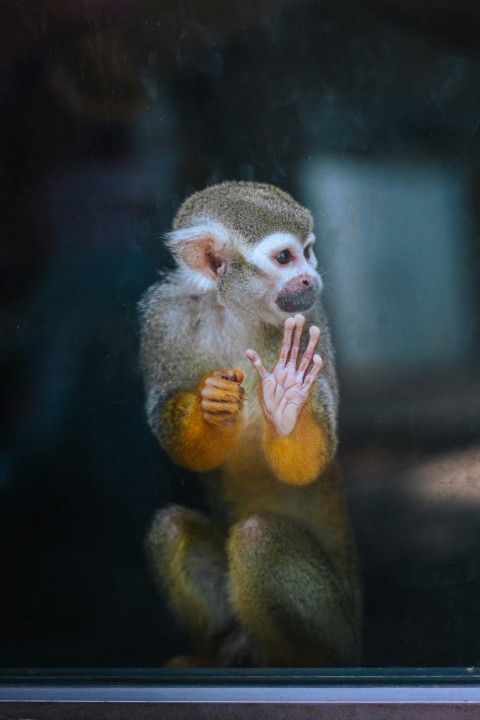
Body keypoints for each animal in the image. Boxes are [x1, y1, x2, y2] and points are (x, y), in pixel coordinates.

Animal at [140, 183, 360, 668]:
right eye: (284, 258)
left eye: (308, 252)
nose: (309, 278)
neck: (232, 309)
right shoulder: (162, 318)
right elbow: (174, 435)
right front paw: (210, 405)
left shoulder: (310, 320)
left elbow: (310, 462)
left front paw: (286, 399)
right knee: (170, 527)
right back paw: (218, 651)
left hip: (337, 628)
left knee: (258, 539)